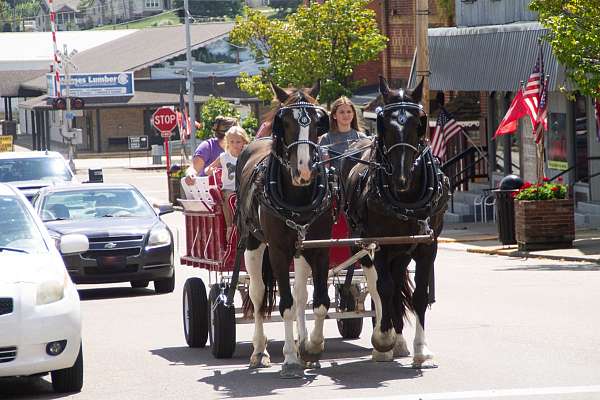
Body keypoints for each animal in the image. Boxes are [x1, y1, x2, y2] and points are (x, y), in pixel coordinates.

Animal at [237, 82, 332, 378]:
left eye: (317, 121)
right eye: (286, 123)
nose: (304, 169)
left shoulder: (320, 248)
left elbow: (319, 302)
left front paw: (311, 348)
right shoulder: (278, 252)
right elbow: (286, 305)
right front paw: (290, 358)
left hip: (300, 251)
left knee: (302, 295)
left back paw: (302, 343)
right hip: (252, 245)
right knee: (257, 294)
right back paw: (259, 350)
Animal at [340, 76, 448, 368]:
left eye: (417, 123)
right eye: (385, 124)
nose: (401, 177)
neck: (404, 197)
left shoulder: (427, 246)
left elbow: (419, 295)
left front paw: (422, 350)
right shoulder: (379, 243)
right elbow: (384, 289)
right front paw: (383, 339)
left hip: (401, 250)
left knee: (397, 283)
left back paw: (399, 342)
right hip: (362, 244)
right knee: (377, 286)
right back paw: (385, 338)